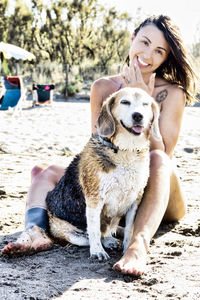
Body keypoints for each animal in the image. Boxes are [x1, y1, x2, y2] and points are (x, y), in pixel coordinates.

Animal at [46, 86, 162, 260]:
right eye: (125, 102)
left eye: (145, 104)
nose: (138, 116)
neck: (125, 150)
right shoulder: (95, 199)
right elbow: (94, 230)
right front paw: (97, 251)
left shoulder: (135, 199)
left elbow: (129, 229)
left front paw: (127, 248)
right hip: (71, 232)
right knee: (94, 234)